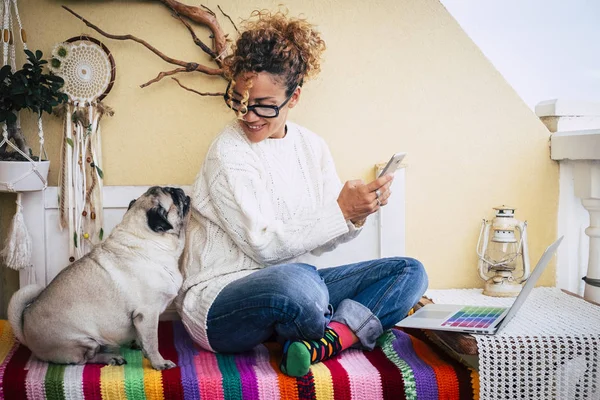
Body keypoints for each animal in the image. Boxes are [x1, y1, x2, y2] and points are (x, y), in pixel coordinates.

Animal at [7, 186, 190, 370]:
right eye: (172, 194)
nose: (179, 189)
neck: (146, 239)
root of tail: (24, 327)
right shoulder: (147, 313)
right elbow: (152, 342)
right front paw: (159, 362)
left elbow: (144, 338)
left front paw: (139, 344)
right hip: (84, 341)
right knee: (84, 360)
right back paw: (111, 358)